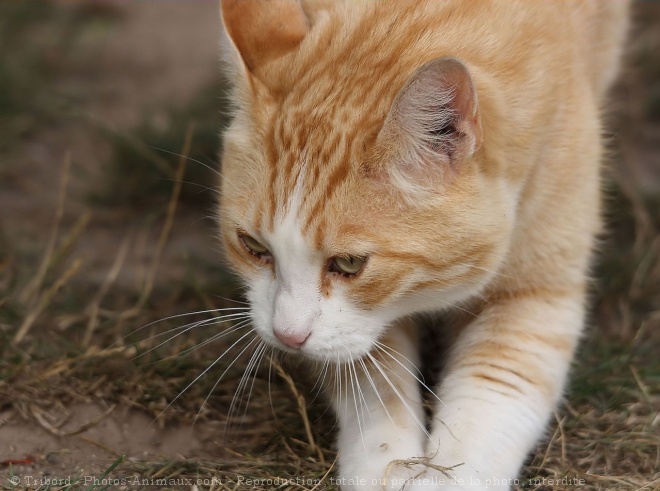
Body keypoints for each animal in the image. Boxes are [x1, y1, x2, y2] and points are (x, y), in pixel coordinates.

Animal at [215, 1, 628, 490]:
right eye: (252, 245)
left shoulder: (538, 298)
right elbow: (374, 384)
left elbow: (489, 400)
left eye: (349, 263)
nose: (287, 337)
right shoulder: (358, 331)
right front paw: (387, 465)